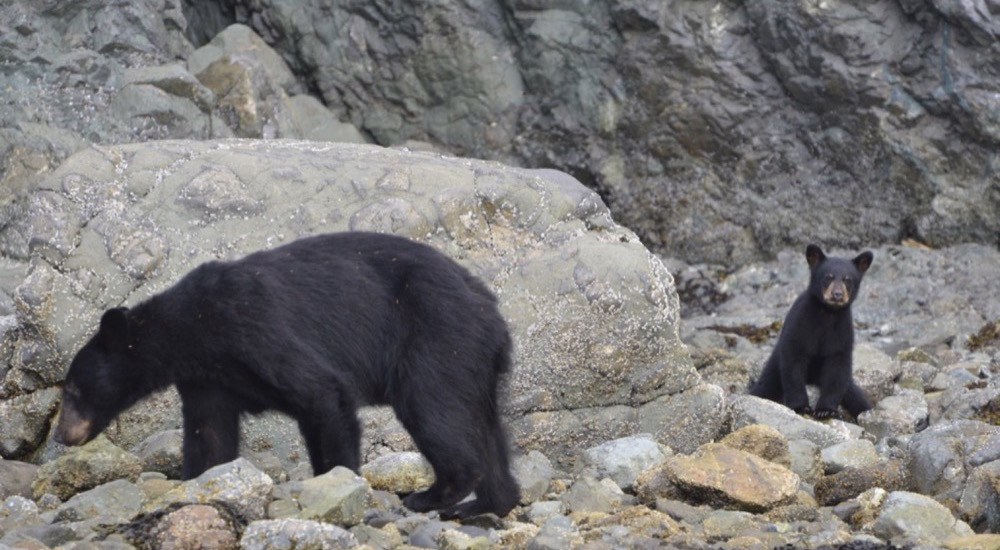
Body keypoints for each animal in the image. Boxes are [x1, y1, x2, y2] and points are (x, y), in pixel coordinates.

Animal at [52, 233, 524, 520]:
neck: (192, 328)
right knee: (486, 429)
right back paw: (489, 503)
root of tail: (492, 311)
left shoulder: (253, 325)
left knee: (434, 410)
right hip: (474, 360)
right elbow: (211, 435)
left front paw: (339, 484)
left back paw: (432, 494)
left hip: (436, 338)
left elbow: (323, 393)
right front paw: (198, 484)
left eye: (72, 389)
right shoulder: (209, 377)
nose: (61, 435)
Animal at [748, 244, 872, 420]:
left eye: (848, 279)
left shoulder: (841, 333)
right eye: (828, 277)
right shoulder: (801, 325)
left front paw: (825, 410)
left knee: (858, 398)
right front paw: (800, 406)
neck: (827, 313)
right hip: (773, 369)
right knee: (764, 387)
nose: (837, 295)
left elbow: (837, 368)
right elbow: (793, 364)